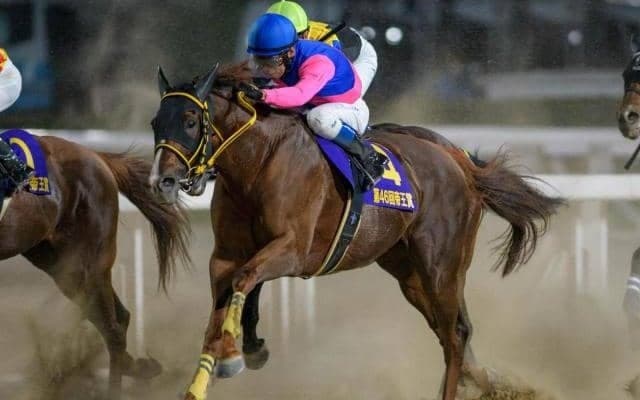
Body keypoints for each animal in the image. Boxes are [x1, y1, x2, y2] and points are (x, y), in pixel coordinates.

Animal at [0, 132, 191, 399]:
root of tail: (97, 156)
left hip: (87, 262)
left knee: (113, 330)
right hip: (60, 265)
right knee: (118, 319)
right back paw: (140, 368)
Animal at [148, 62, 563, 400]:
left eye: (189, 121)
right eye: (155, 123)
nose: (161, 181)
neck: (258, 162)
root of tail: (459, 161)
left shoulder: (294, 250)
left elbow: (245, 279)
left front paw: (235, 353)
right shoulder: (225, 256)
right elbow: (224, 304)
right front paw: (211, 373)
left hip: (441, 264)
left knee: (455, 333)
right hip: (408, 272)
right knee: (455, 330)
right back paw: (489, 382)